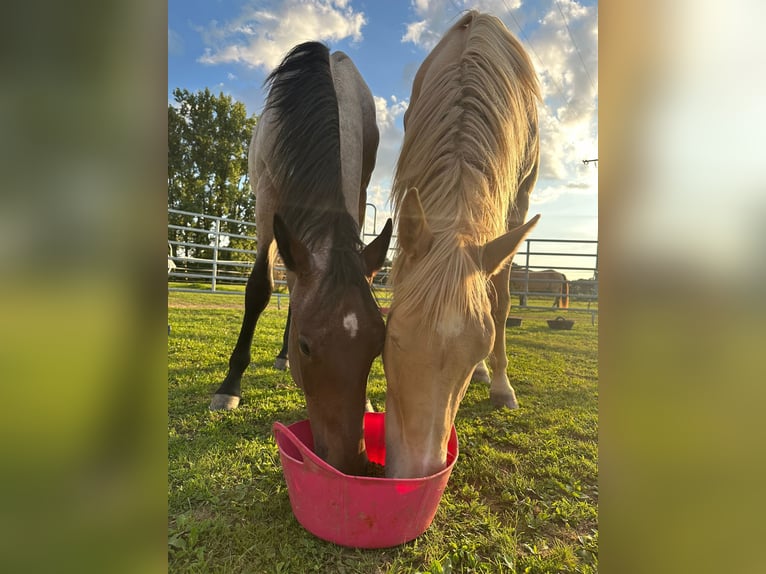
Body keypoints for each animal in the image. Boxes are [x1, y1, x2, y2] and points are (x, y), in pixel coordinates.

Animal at [210, 42, 393, 477]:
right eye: (306, 347)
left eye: (377, 345)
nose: (351, 461)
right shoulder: (265, 201)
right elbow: (260, 288)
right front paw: (230, 385)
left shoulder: (359, 194)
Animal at [383, 11, 541, 478]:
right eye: (391, 336)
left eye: (478, 351)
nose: (416, 472)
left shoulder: (518, 201)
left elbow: (501, 302)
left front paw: (502, 386)